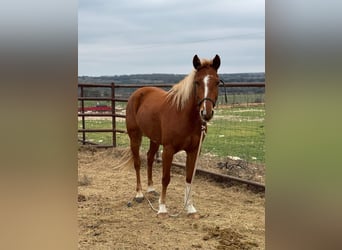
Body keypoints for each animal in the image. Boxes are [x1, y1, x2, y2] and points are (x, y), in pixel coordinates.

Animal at [126, 54, 222, 217]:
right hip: (135, 136)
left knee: (150, 158)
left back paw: (151, 189)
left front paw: (189, 207)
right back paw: (139, 194)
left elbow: (189, 177)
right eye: (197, 82)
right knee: (137, 162)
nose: (206, 113)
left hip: (154, 139)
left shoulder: (194, 151)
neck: (184, 116)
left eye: (217, 82)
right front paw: (162, 208)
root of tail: (137, 93)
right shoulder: (168, 150)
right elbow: (166, 178)